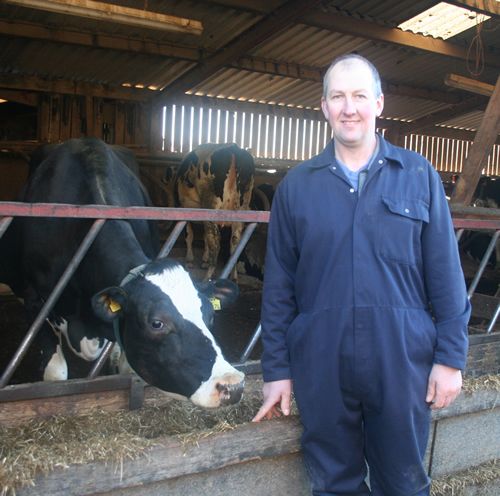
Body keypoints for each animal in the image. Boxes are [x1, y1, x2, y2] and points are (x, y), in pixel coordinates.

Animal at [168, 144, 256, 282]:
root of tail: (234, 149)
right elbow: (203, 237)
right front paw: (204, 260)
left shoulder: (183, 209)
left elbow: (189, 235)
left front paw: (189, 260)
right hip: (242, 209)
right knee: (235, 243)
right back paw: (234, 277)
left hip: (211, 207)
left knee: (216, 242)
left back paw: (207, 278)